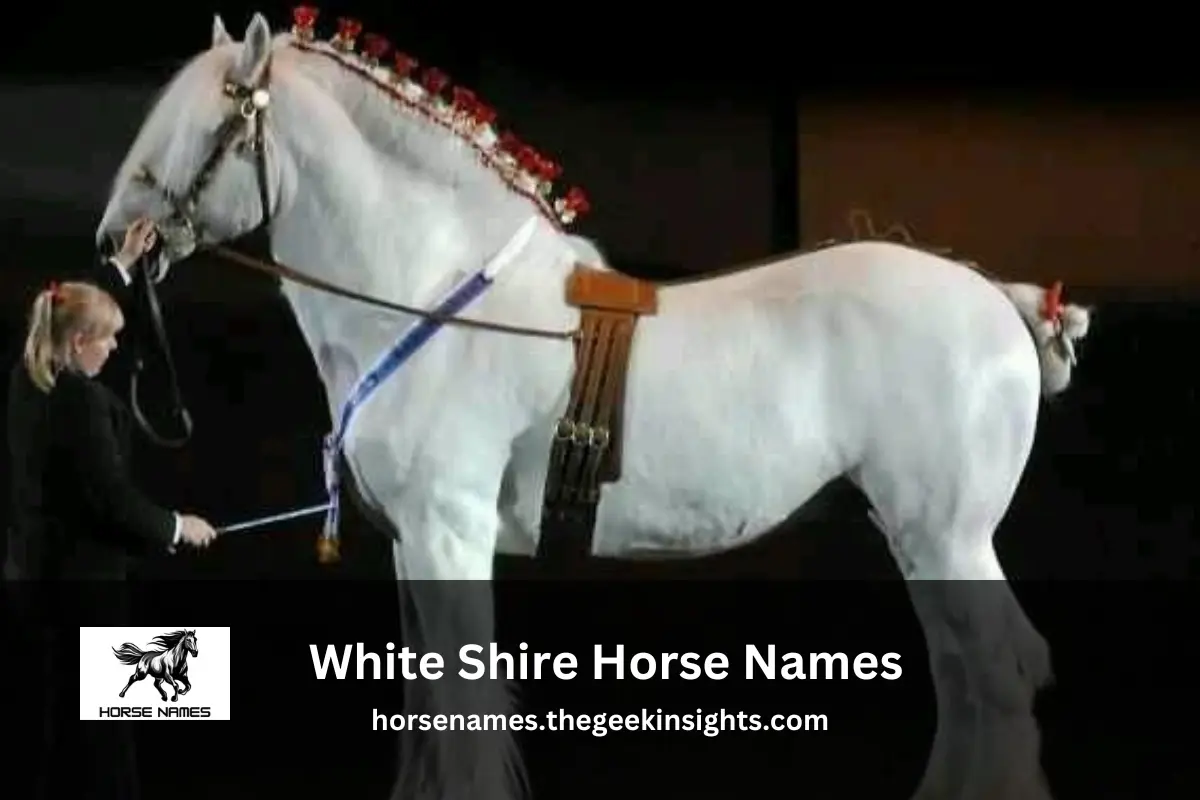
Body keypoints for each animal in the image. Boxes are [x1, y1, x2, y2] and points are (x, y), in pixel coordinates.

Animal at [93, 9, 1091, 800]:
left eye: (211, 117)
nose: (114, 243)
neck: (431, 295)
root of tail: (996, 296)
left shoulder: (450, 535)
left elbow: (463, 718)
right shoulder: (415, 545)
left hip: (948, 538)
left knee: (994, 683)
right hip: (919, 541)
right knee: (968, 683)